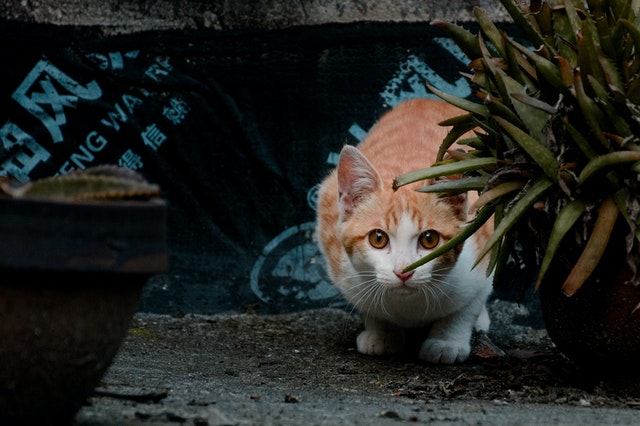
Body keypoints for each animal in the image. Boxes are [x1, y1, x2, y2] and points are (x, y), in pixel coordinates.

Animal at [318, 98, 492, 364]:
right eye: (378, 238)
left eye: (429, 239)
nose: (403, 272)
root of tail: (427, 99)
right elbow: (368, 305)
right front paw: (381, 333)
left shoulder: (484, 251)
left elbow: (466, 307)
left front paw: (448, 341)